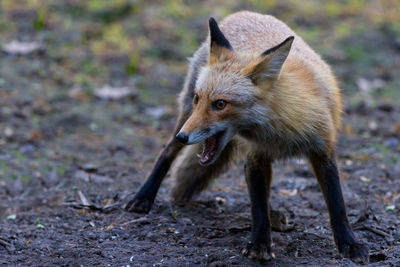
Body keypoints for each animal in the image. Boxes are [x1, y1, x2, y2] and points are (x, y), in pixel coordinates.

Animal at [126, 11, 370, 264]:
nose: (184, 136)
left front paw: (349, 243)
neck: (281, 132)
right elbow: (258, 206)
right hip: (184, 114)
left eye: (220, 104)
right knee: (166, 153)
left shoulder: (323, 149)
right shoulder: (255, 157)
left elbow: (337, 203)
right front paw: (260, 244)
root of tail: (242, 13)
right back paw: (143, 197)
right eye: (198, 99)